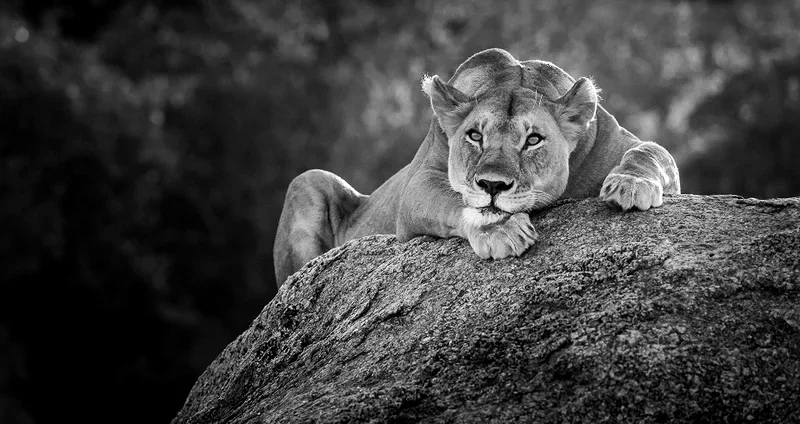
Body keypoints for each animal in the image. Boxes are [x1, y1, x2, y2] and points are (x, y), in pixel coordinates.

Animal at [274, 48, 680, 285]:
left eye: (534, 139)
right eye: (474, 136)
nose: (493, 186)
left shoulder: (625, 143)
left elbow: (651, 153)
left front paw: (630, 185)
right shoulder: (418, 183)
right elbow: (455, 200)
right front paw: (499, 229)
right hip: (308, 180)